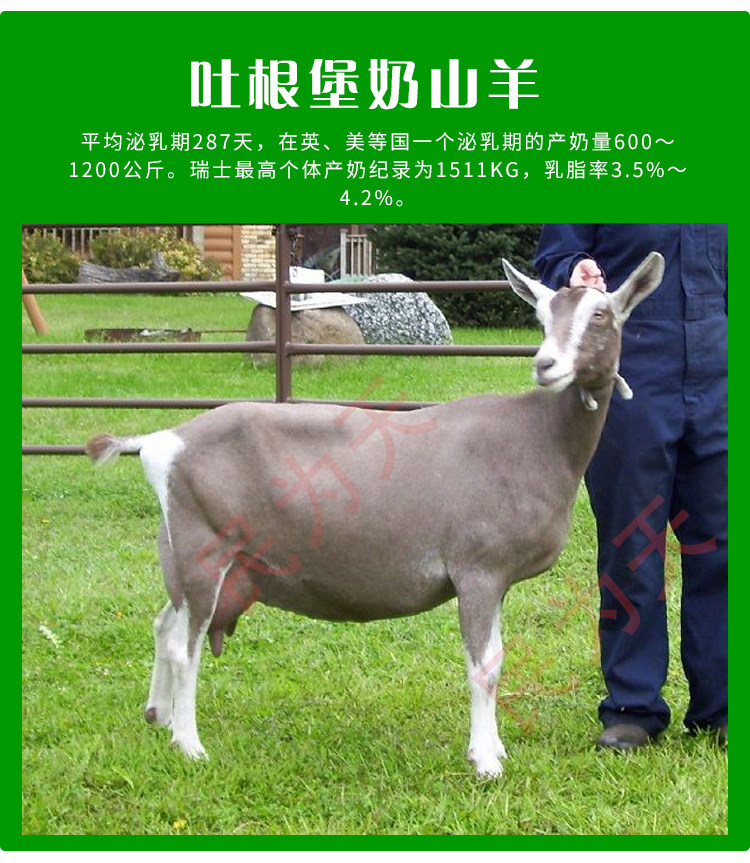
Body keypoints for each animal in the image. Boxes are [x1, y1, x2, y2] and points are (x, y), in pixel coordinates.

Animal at [86, 252, 664, 777]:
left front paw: (496, 750)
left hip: (185, 556)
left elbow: (496, 659)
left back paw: (158, 716)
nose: (546, 365)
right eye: (542, 317)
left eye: (601, 315)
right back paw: (190, 746)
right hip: (204, 548)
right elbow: (484, 668)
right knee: (184, 647)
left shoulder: (497, 579)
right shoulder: (476, 568)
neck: (538, 435)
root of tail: (161, 441)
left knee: (164, 623)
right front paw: (485, 762)